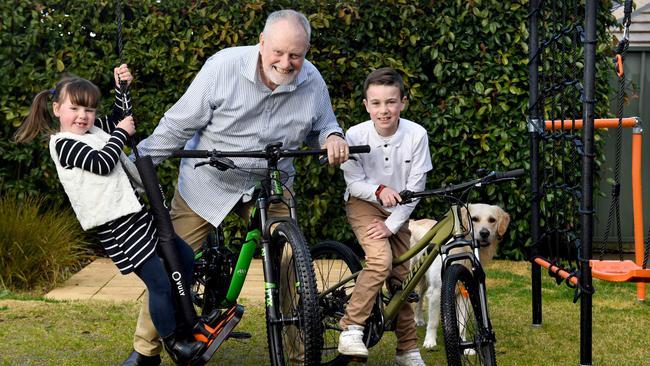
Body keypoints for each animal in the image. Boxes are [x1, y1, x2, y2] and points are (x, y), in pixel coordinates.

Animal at [408, 203, 508, 348]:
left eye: (492, 220)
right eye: (474, 219)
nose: (485, 233)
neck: (462, 249)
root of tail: (412, 221)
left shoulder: (465, 291)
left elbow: (462, 323)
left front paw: (466, 345)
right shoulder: (437, 290)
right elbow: (433, 321)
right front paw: (430, 341)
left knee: (420, 296)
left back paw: (418, 318)